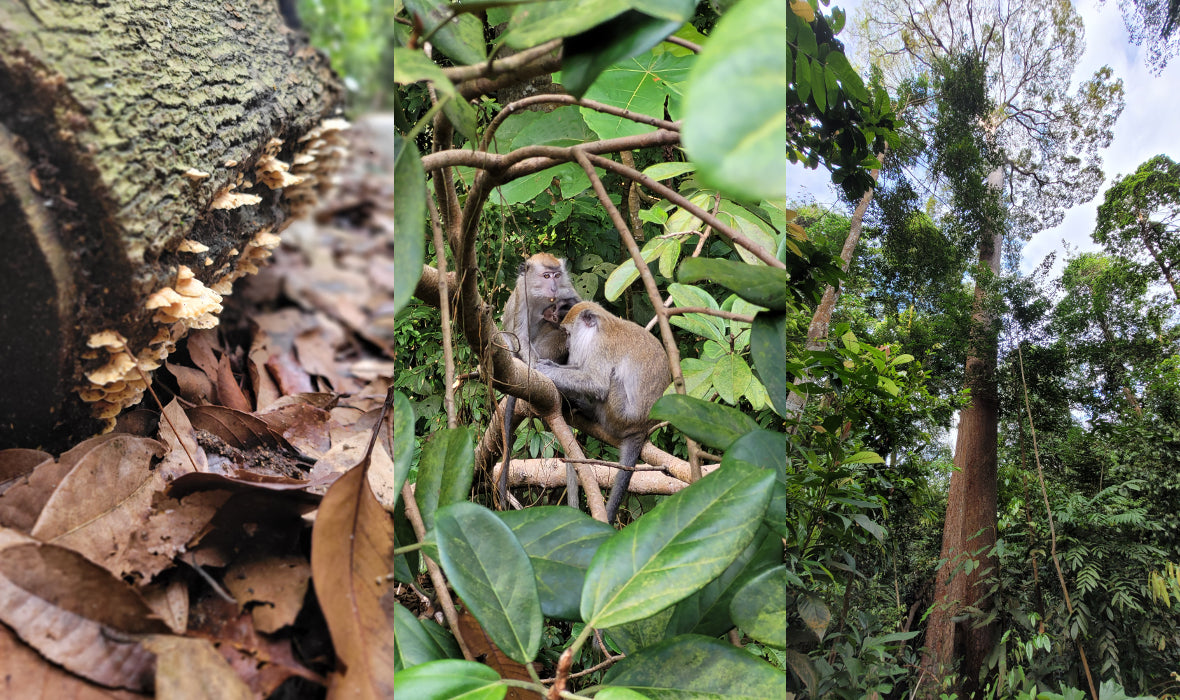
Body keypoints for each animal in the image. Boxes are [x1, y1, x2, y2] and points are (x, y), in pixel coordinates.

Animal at [538, 299, 670, 524]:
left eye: (569, 334)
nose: (568, 346)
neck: (602, 326)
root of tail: (642, 428)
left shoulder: (600, 348)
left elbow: (597, 383)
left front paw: (546, 370)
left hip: (618, 416)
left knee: (612, 379)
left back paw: (589, 411)